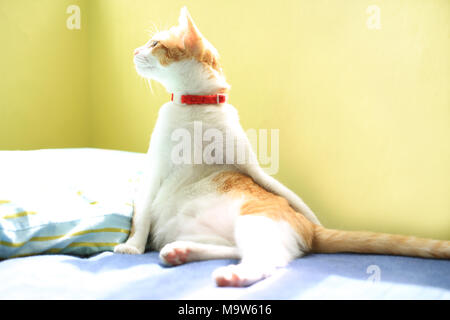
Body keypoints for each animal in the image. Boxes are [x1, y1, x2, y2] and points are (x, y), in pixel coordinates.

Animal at [114, 6, 448, 288]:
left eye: (154, 43)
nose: (133, 51)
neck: (196, 108)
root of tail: (311, 231)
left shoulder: (163, 167)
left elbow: (141, 215)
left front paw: (131, 246)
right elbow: (143, 213)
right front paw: (135, 245)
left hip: (254, 220)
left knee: (267, 261)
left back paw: (233, 275)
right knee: (235, 248)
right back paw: (181, 251)